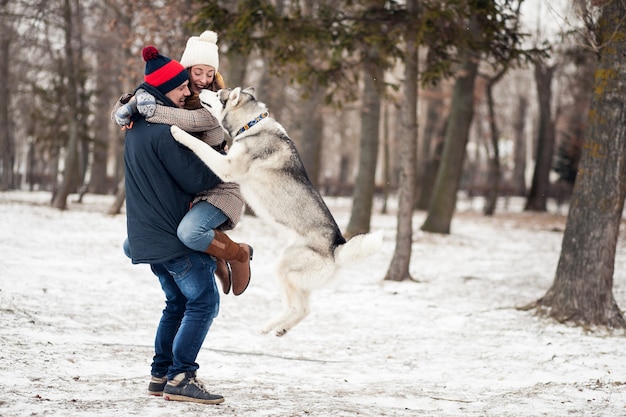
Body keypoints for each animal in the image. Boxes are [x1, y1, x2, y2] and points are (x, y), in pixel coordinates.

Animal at [169, 87, 380, 334]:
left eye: (219, 93)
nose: (201, 89)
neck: (251, 125)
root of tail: (336, 247)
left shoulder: (227, 167)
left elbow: (200, 146)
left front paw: (178, 131)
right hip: (297, 277)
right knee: (305, 309)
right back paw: (280, 329)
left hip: (283, 267)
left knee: (296, 307)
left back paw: (268, 326)